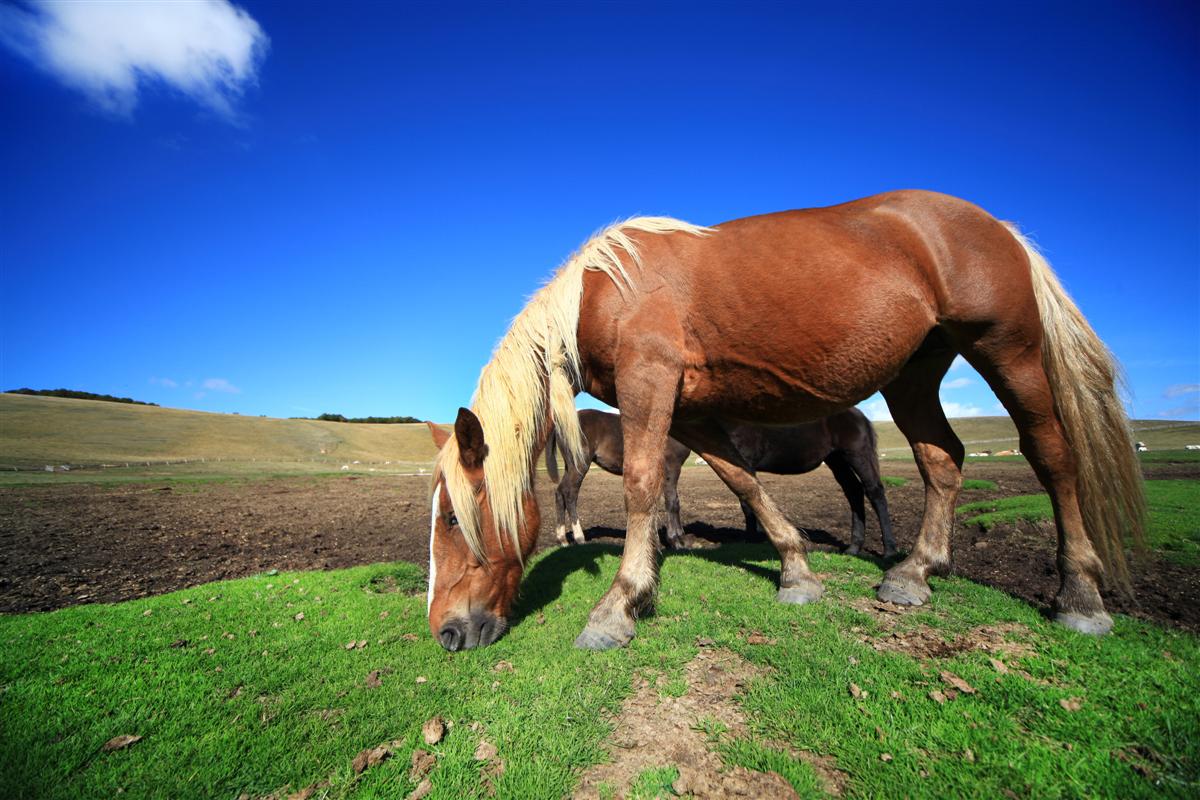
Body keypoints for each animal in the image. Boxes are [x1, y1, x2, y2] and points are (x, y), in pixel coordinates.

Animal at [544, 408, 896, 557]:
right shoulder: (672, 466)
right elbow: (675, 502)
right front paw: (679, 540)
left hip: (849, 457)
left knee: (869, 493)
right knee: (567, 492)